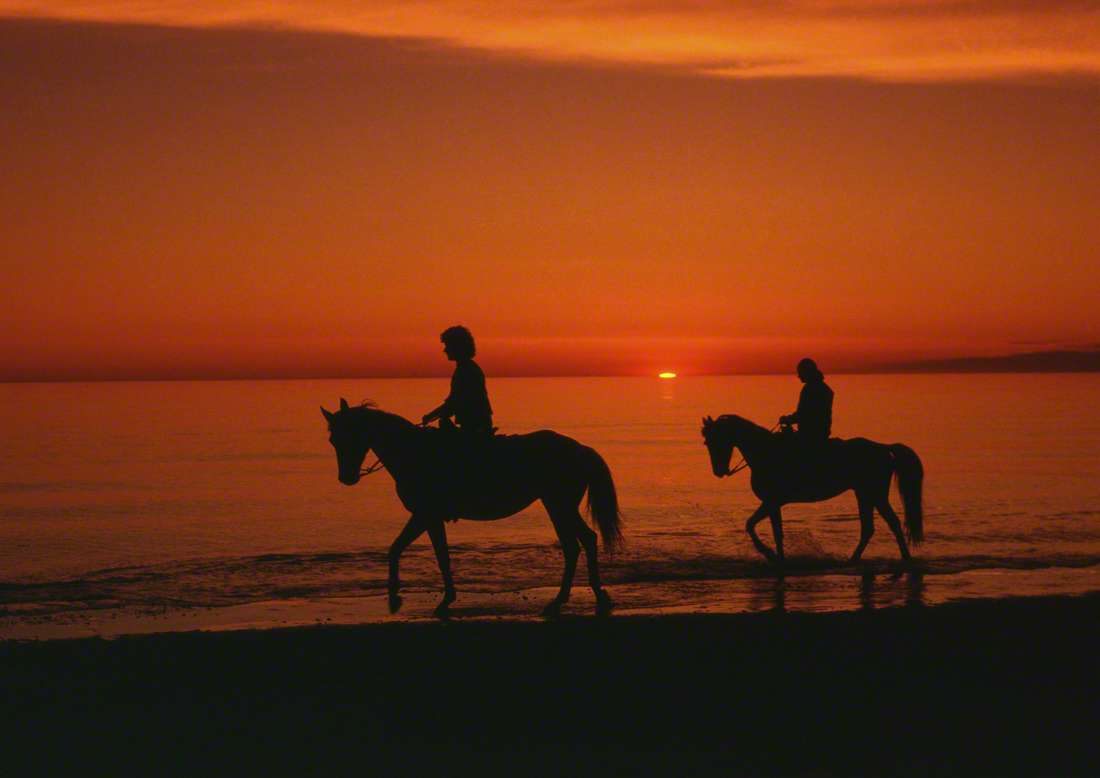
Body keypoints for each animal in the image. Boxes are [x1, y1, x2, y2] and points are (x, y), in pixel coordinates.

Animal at [321, 402, 624, 616]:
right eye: (333, 440)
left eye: (349, 437)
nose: (346, 477)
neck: (414, 452)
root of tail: (580, 448)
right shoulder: (426, 516)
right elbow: (409, 551)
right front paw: (421, 597)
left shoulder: (426, 515)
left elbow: (432, 555)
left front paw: (415, 599)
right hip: (558, 505)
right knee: (581, 542)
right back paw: (585, 596)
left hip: (559, 505)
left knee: (578, 543)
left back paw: (568, 599)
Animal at [699, 413, 924, 567]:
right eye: (707, 442)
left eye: (715, 440)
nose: (718, 471)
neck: (764, 452)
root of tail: (883, 448)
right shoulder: (770, 503)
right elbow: (752, 525)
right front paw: (773, 556)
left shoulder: (772, 502)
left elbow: (774, 531)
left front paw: (776, 557)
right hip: (865, 495)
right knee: (875, 526)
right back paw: (860, 560)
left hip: (873, 494)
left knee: (887, 524)